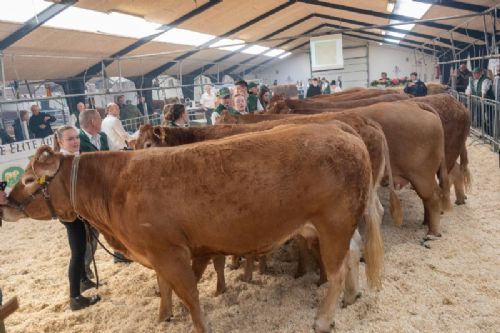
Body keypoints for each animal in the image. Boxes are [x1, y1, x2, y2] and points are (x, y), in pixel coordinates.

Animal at [2, 124, 378, 332]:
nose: (5, 202)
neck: (115, 187)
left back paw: (323, 320)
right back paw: (350, 298)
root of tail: (338, 129)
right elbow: (165, 288)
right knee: (351, 255)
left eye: (29, 179)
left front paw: (197, 323)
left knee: (337, 269)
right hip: (332, 226)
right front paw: (163, 317)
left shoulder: (169, 251)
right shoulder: (156, 251)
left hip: (333, 222)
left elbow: (189, 293)